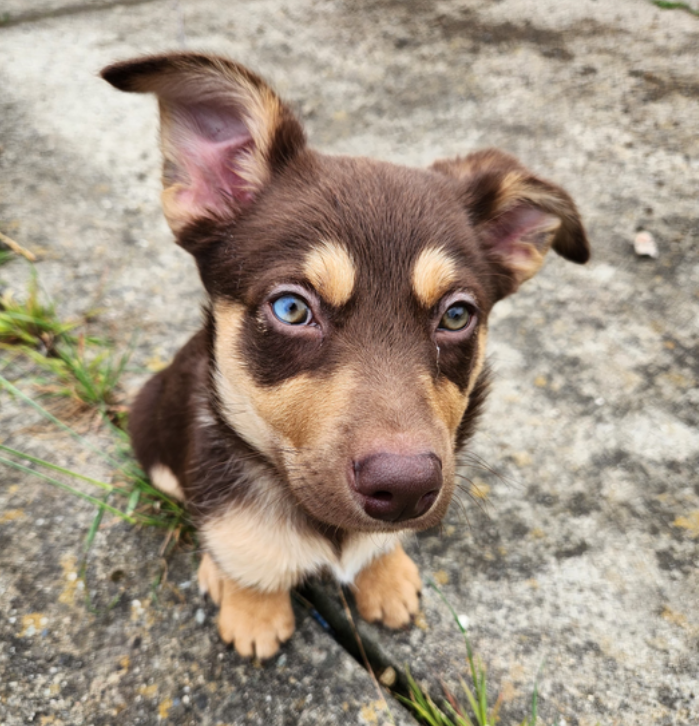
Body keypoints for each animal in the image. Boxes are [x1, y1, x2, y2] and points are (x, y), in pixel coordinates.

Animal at [101, 52, 589, 660]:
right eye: (291, 308)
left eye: (457, 316)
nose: (405, 490)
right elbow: (244, 553)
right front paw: (252, 607)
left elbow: (377, 548)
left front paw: (386, 574)